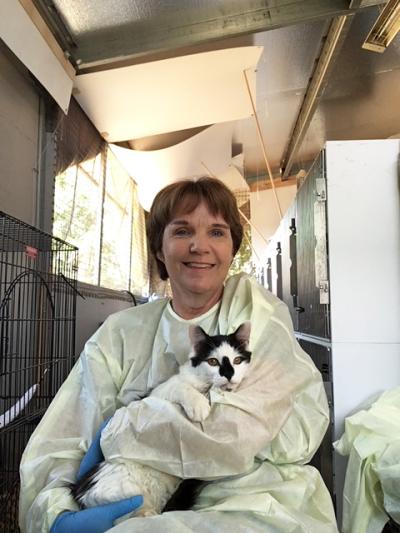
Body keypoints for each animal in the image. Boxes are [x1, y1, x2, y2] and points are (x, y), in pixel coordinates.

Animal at [69, 320, 250, 516]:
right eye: (213, 361)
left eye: (237, 360)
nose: (229, 374)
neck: (203, 386)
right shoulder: (159, 394)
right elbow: (182, 388)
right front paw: (199, 404)